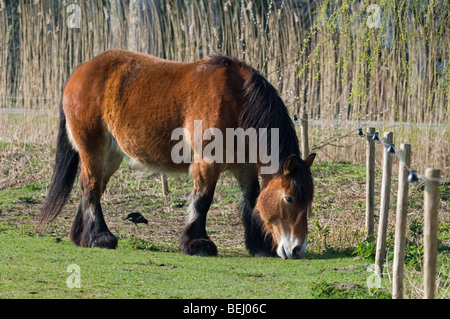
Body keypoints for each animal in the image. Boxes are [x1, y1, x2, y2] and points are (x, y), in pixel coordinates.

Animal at [41, 50, 316, 260]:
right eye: (289, 198)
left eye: (308, 201)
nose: (297, 249)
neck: (237, 101)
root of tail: (78, 73)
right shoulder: (207, 163)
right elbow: (202, 200)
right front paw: (196, 244)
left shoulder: (245, 167)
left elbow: (253, 199)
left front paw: (259, 246)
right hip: (93, 150)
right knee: (90, 187)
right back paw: (100, 237)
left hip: (111, 156)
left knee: (92, 189)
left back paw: (81, 237)